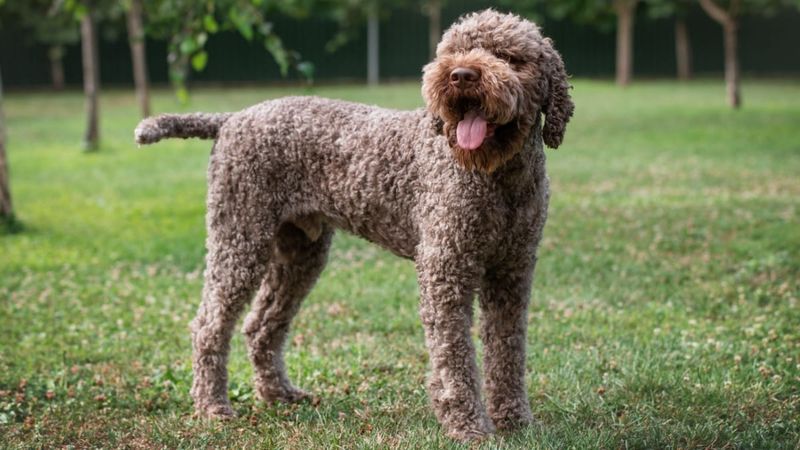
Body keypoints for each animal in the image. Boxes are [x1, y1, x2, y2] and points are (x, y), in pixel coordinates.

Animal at [138, 8, 576, 442]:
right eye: (454, 51)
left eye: (509, 57)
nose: (461, 75)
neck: (499, 179)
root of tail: (233, 118)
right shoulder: (446, 270)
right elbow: (455, 358)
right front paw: (468, 426)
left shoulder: (512, 273)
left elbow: (508, 352)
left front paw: (515, 420)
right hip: (240, 239)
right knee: (209, 325)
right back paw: (212, 406)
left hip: (298, 255)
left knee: (260, 325)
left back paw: (278, 394)